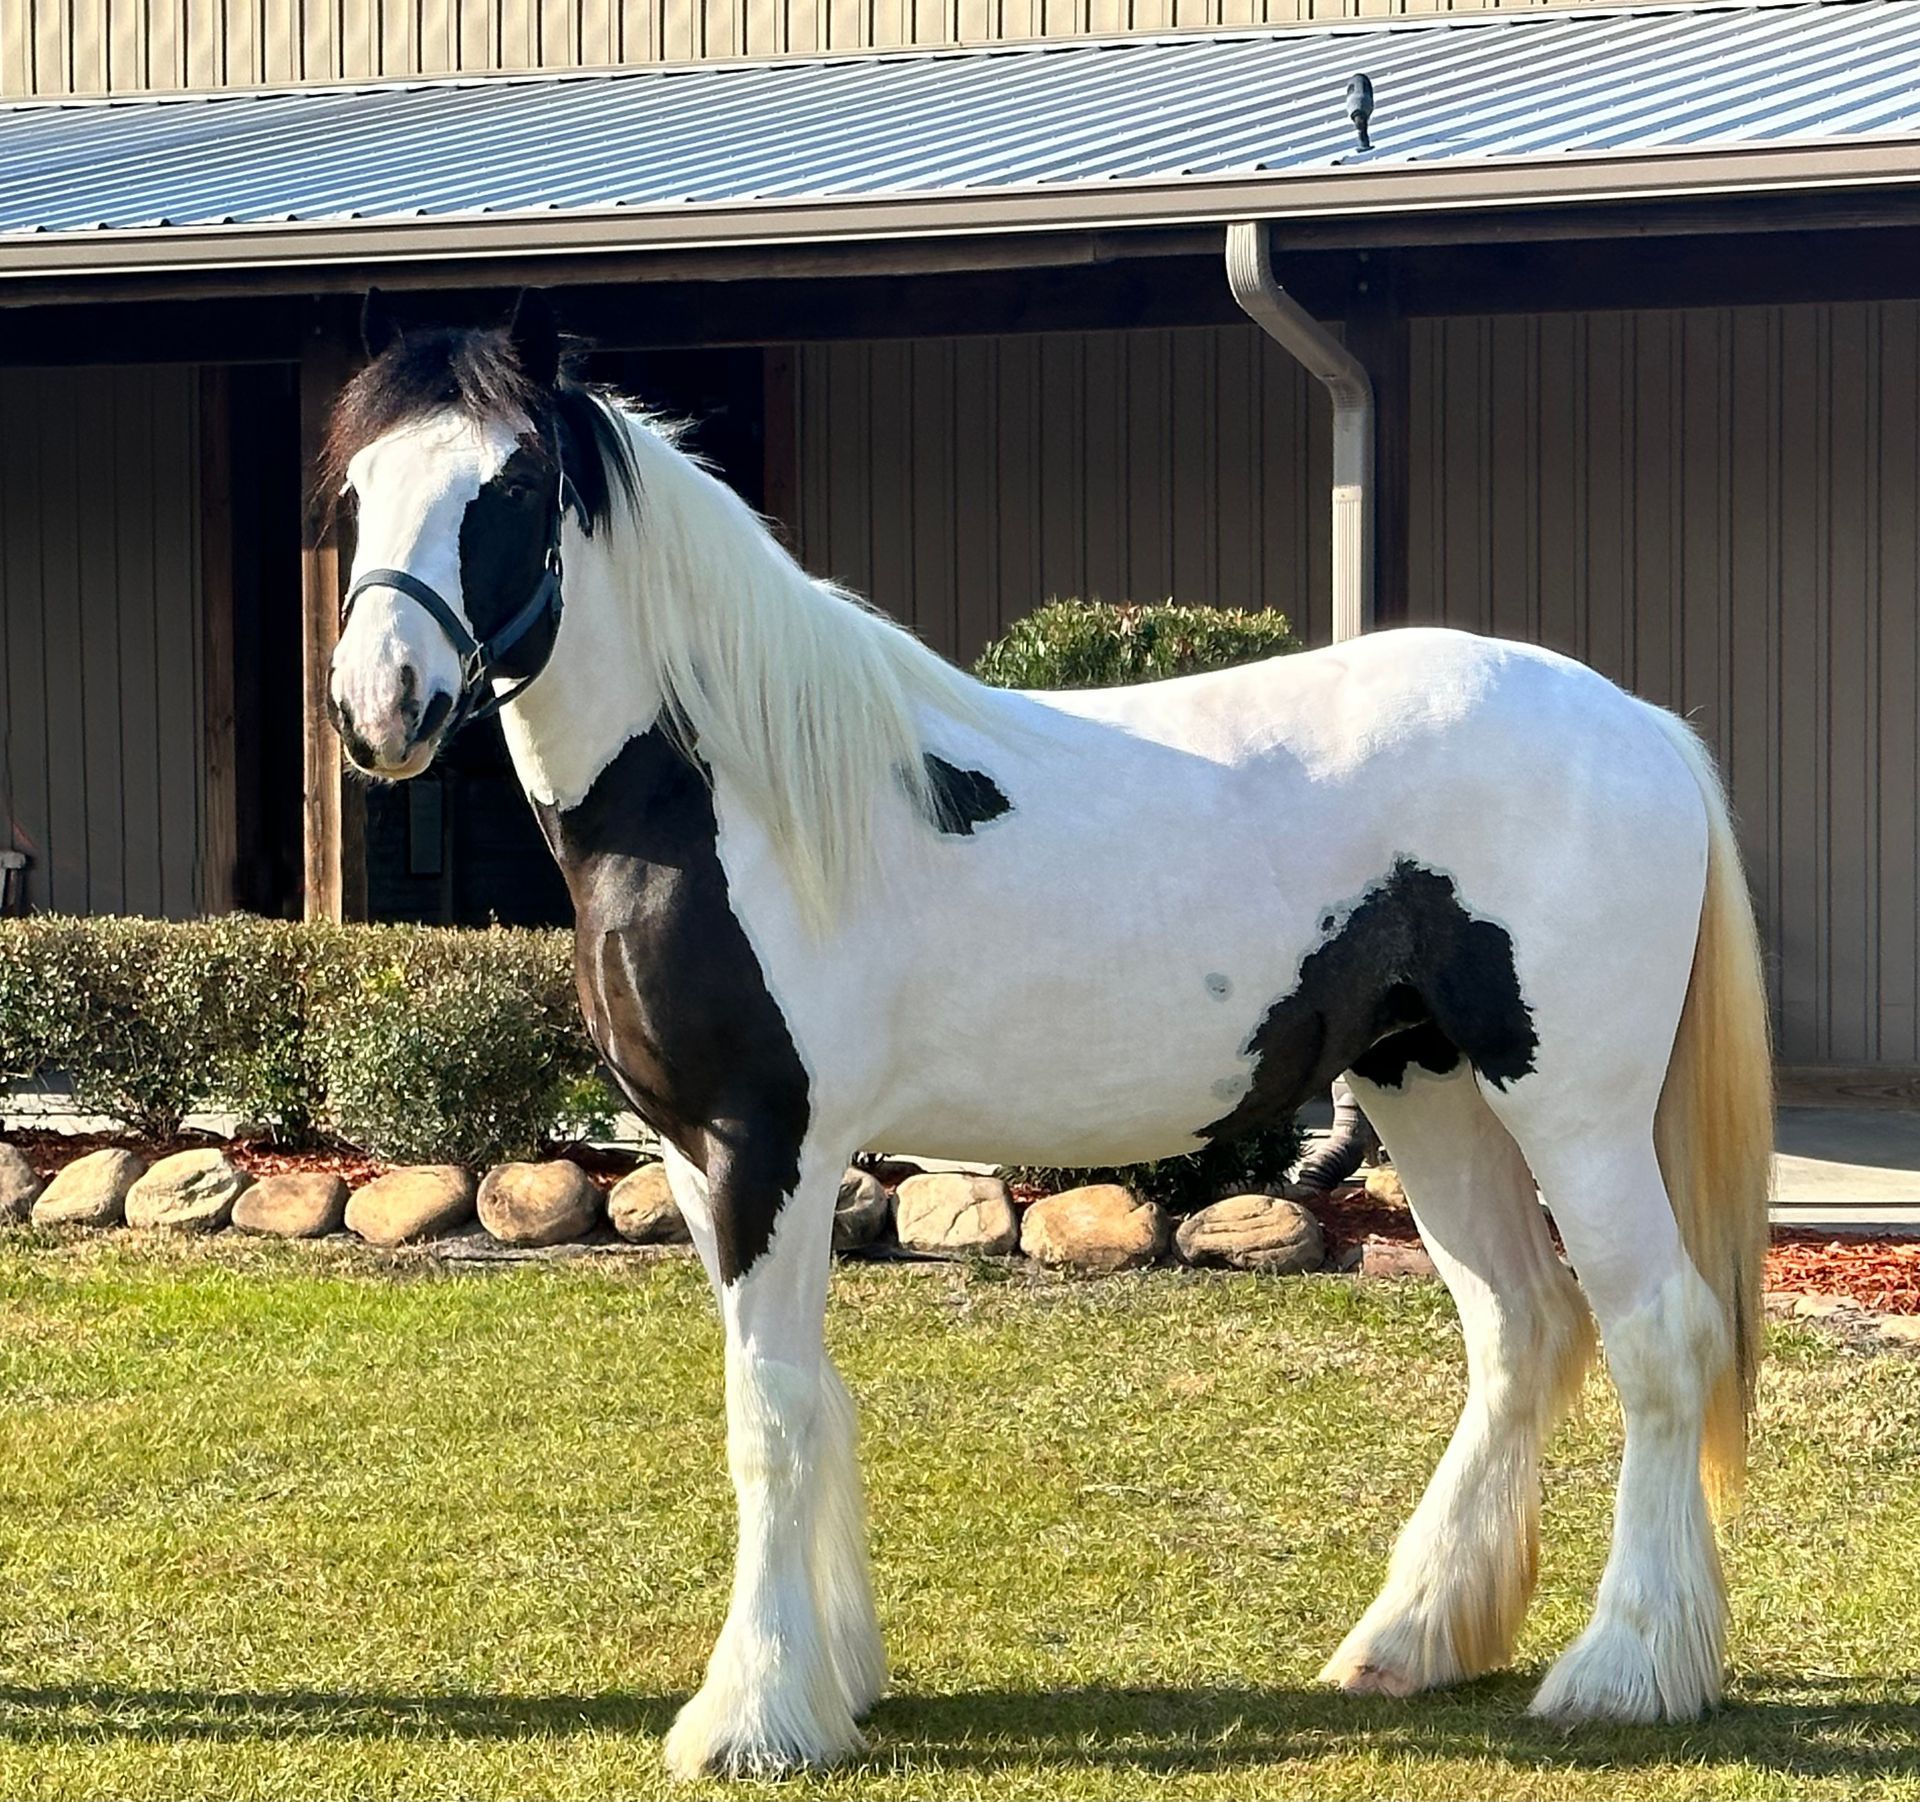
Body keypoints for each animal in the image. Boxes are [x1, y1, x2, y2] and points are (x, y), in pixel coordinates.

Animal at [326, 303, 1766, 1780]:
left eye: (507, 485)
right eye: (357, 492)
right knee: (1520, 1328)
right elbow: (814, 1399)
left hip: (1575, 1107)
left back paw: (1625, 1669)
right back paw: (1409, 1640)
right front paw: (838, 1680)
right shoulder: (694, 1154)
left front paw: (753, 1715)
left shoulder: (767, 1146)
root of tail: (1643, 726)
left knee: (1661, 1334)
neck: (729, 796)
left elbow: (770, 1416)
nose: (380, 705)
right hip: (1428, 1084)